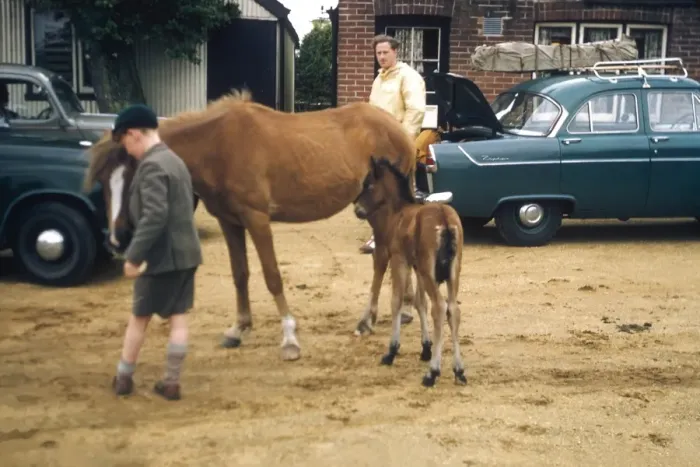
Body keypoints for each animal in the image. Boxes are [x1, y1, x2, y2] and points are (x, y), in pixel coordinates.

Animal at [82, 90, 418, 362]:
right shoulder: (230, 222)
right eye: (103, 182)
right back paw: (401, 309)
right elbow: (240, 274)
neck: (218, 144)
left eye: (139, 176)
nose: (118, 239)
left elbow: (272, 276)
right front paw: (239, 327)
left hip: (377, 208)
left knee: (381, 257)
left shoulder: (256, 218)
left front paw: (289, 339)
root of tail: (400, 130)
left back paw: (368, 319)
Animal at [353, 156, 466, 387]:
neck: (399, 213)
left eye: (369, 184)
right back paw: (458, 370)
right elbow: (419, 302)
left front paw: (392, 351)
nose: (357, 209)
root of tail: (444, 219)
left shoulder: (400, 261)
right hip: (452, 273)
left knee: (440, 307)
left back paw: (432, 373)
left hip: (431, 274)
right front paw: (425, 348)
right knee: (453, 309)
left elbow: (396, 301)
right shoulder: (418, 268)